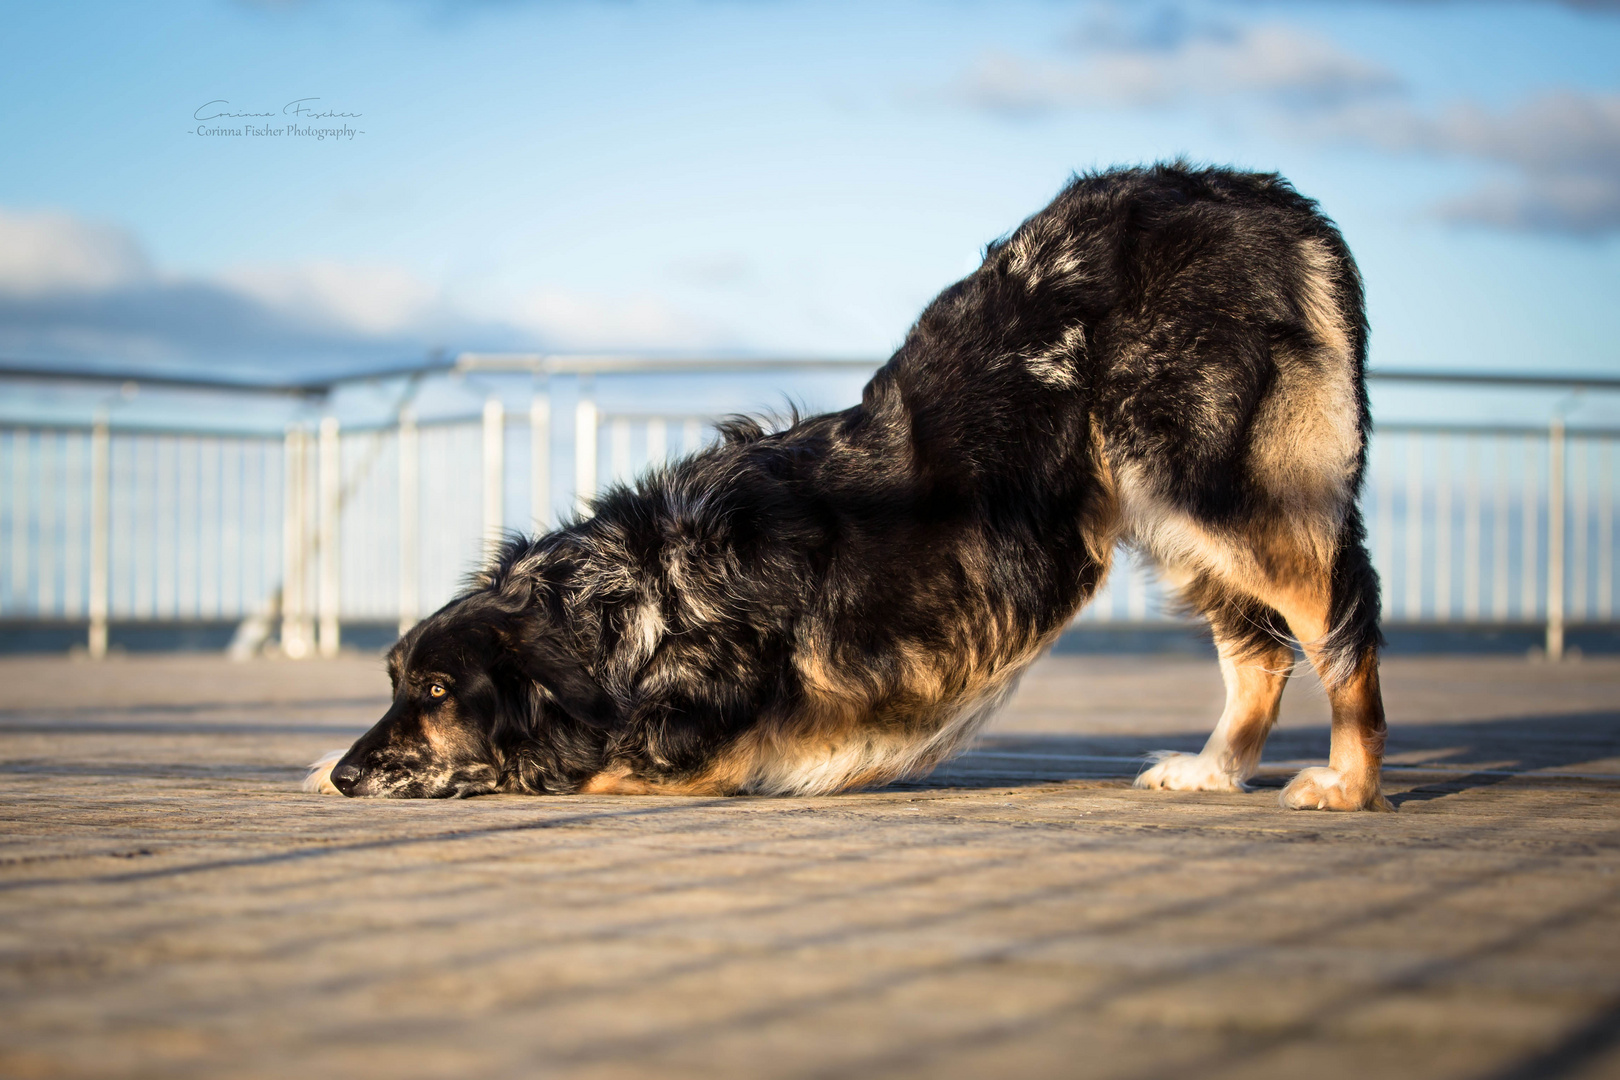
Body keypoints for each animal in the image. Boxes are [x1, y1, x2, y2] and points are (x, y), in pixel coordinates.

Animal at [306, 162, 1393, 809]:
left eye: (439, 694)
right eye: (396, 685)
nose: (357, 769)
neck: (641, 596)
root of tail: (1257, 194)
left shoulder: (692, 750)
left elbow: (566, 765)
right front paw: (324, 760)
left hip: (1210, 489)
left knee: (1339, 616)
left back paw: (1347, 783)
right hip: (1165, 508)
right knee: (1261, 653)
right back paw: (1215, 771)